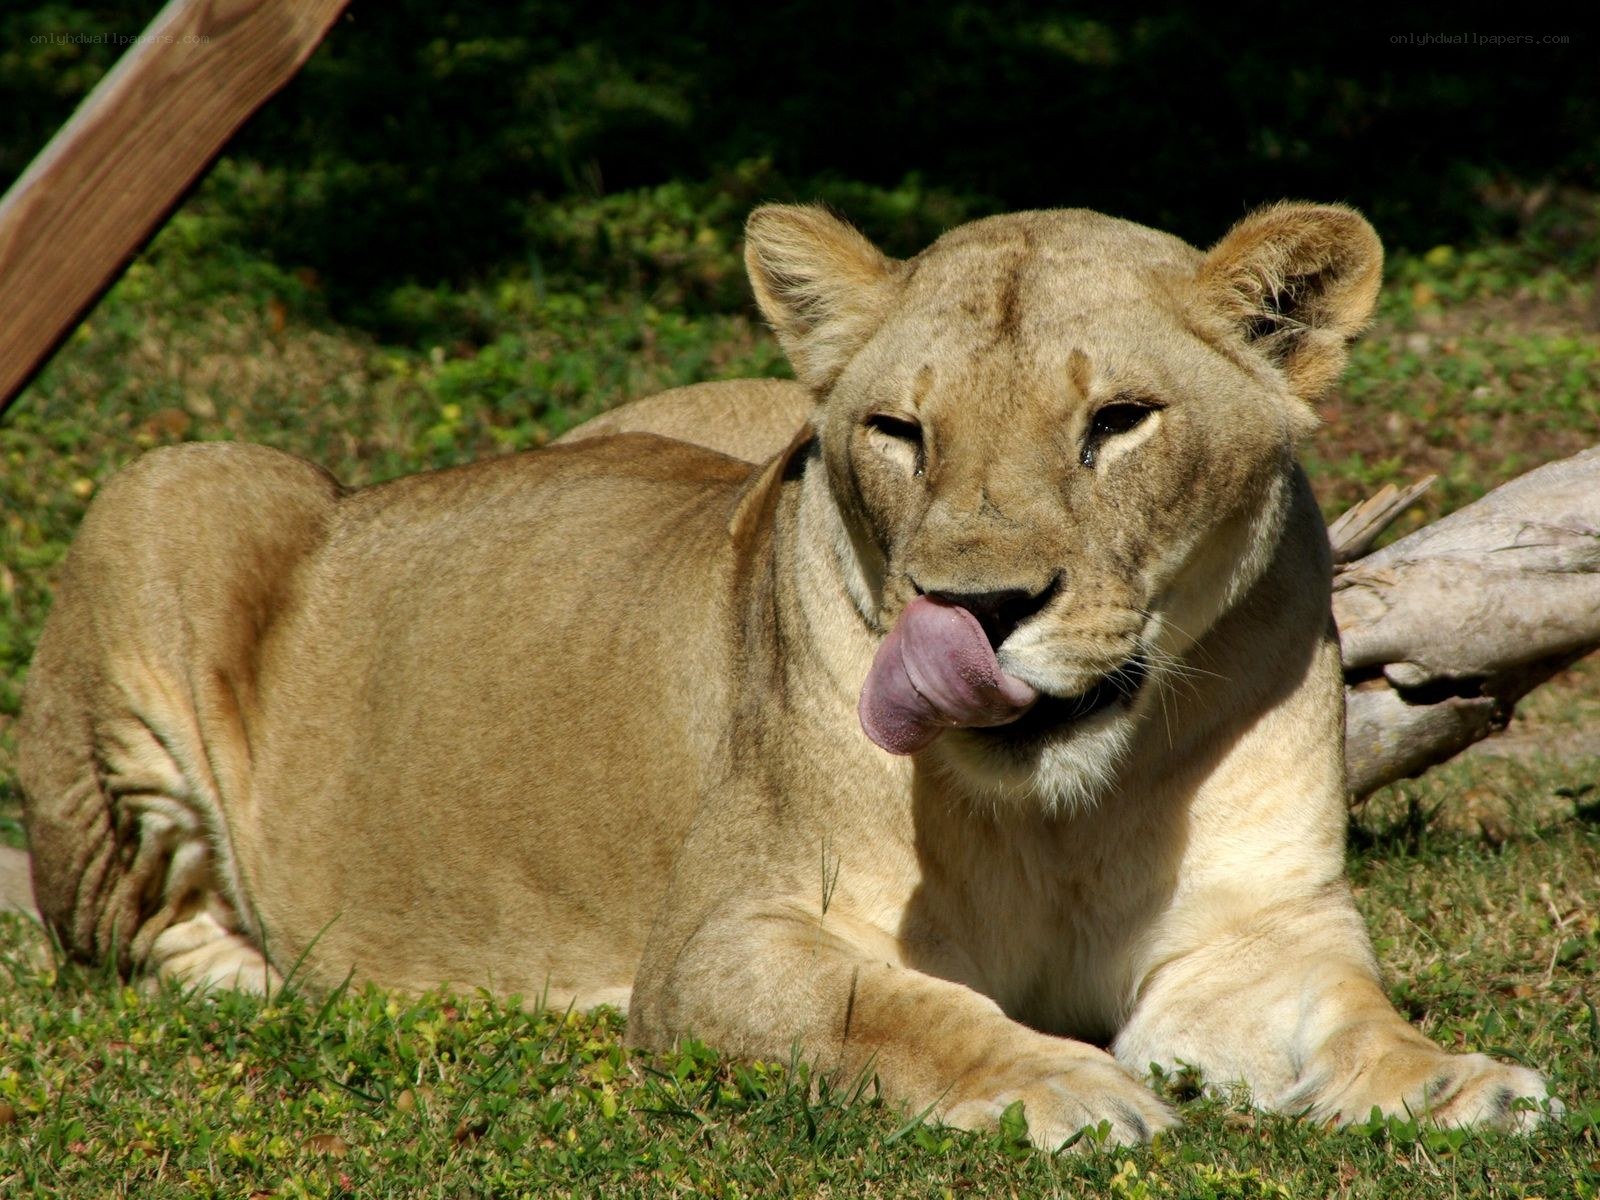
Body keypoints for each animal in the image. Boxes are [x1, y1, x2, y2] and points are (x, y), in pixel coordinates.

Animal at [19, 201, 1553, 1147]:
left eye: (1118, 422)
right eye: (899, 432)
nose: (976, 607)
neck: (1067, 807)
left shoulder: (1254, 936)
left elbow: (1351, 1016)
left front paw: (1458, 1084)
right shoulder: (722, 942)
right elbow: (899, 1006)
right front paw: (1064, 1083)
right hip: (176, 491)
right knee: (132, 929)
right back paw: (288, 978)